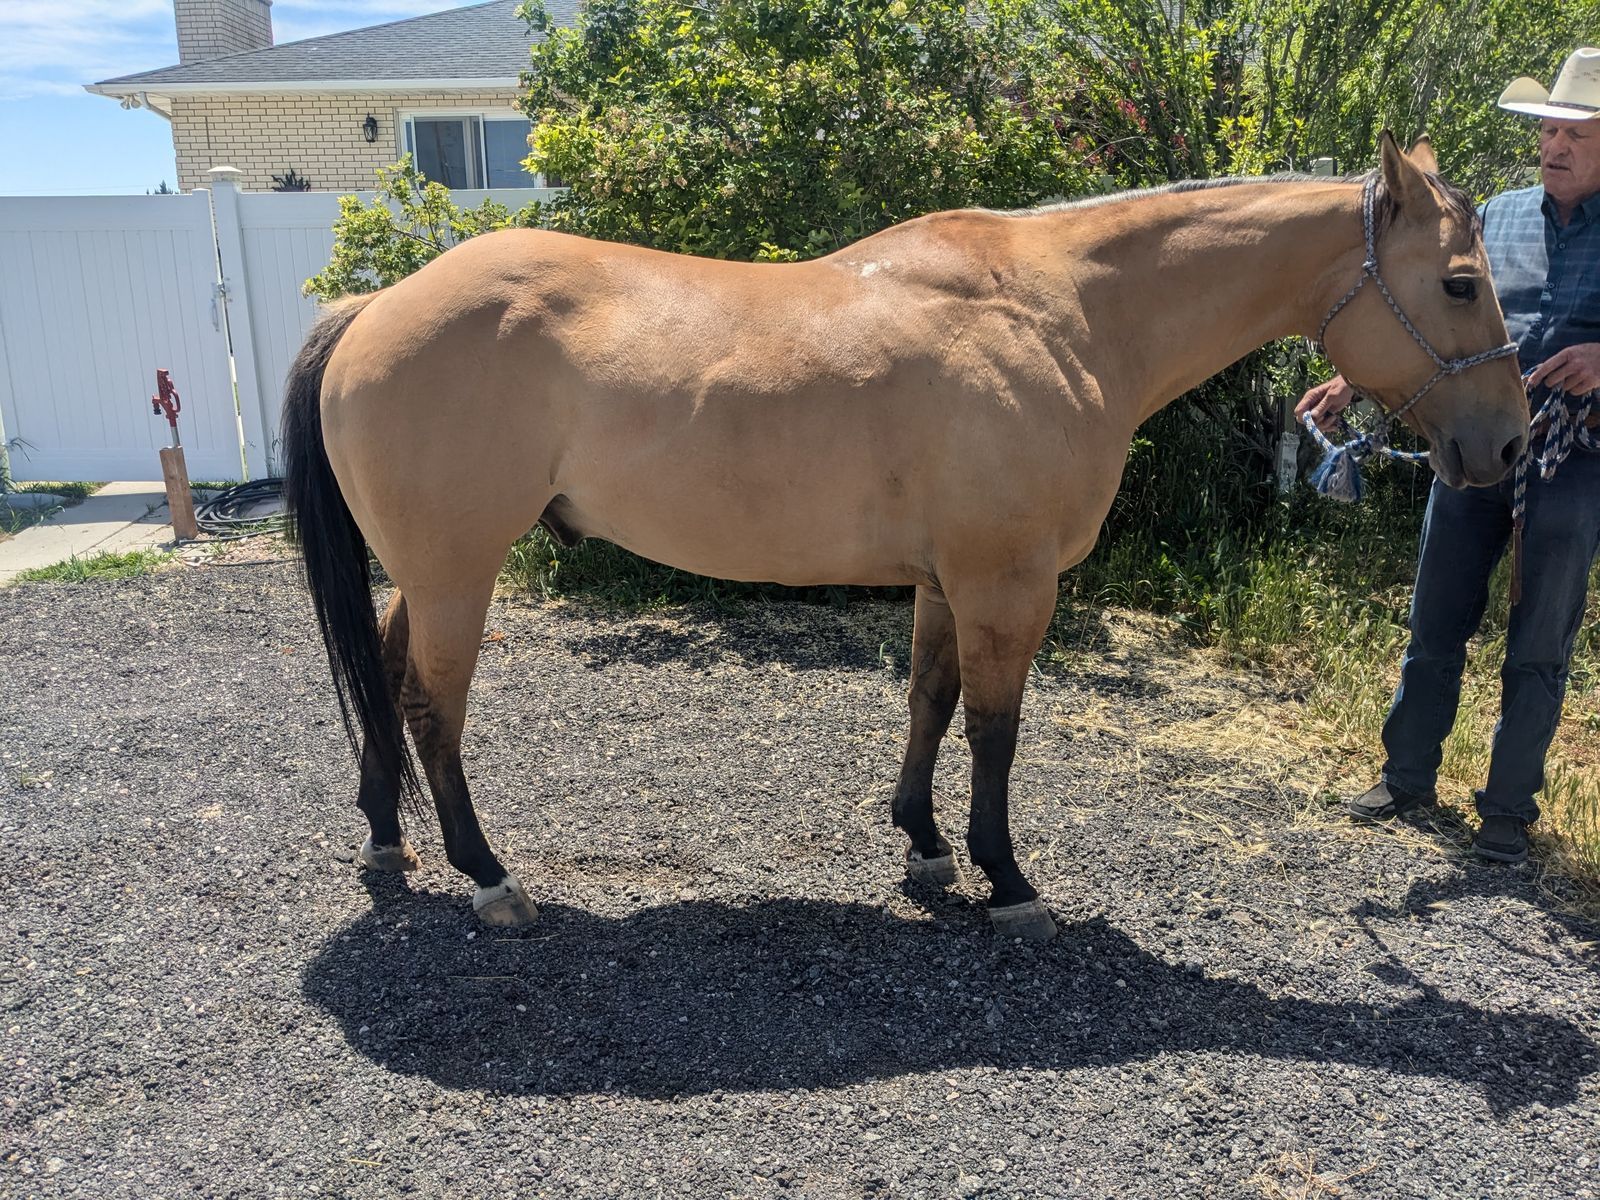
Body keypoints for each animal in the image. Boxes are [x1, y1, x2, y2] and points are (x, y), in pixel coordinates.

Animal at [282, 134, 1528, 941]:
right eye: (1461, 283)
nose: (1510, 446)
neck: (1067, 314)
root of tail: (375, 308)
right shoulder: (1007, 585)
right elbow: (995, 732)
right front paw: (1006, 879)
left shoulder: (944, 581)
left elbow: (929, 704)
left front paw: (924, 844)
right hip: (459, 574)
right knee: (430, 707)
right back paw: (488, 877)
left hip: (427, 574)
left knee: (386, 679)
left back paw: (387, 840)